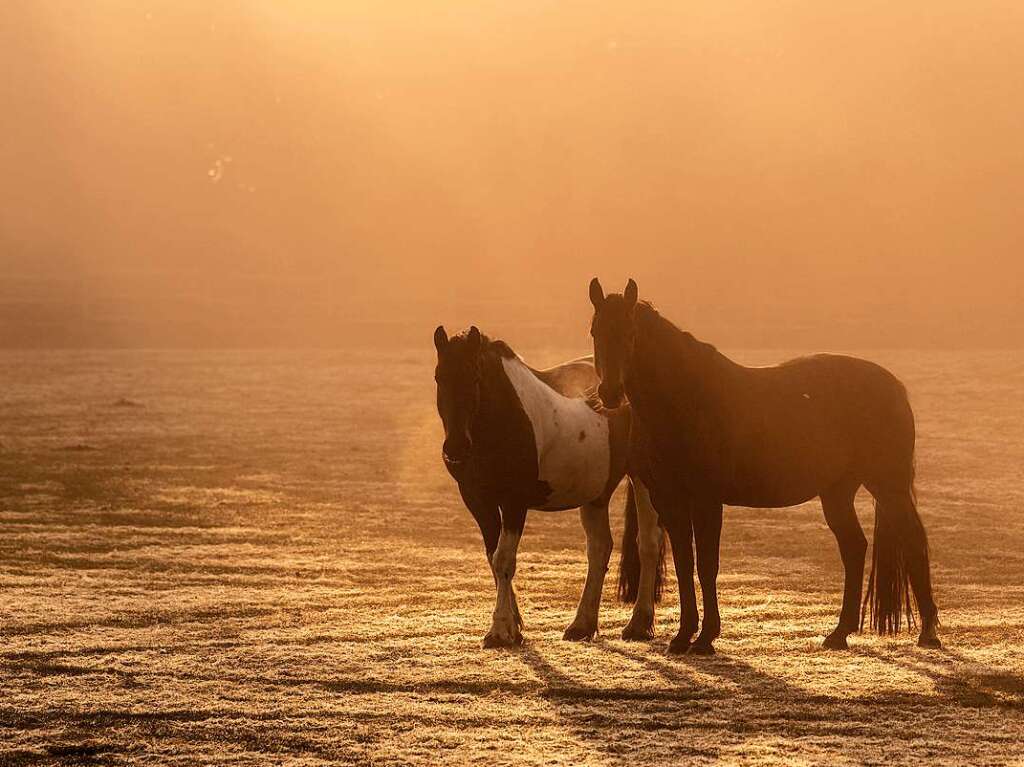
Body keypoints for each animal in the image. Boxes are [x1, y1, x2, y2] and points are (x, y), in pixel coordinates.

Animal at [430, 323, 663, 647]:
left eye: (475, 377)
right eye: (439, 377)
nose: (455, 447)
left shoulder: (514, 502)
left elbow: (504, 559)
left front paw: (500, 630)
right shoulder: (478, 501)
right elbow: (493, 558)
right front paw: (513, 626)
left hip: (642, 480)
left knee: (648, 544)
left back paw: (639, 623)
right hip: (595, 493)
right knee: (600, 548)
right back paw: (582, 625)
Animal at [589, 278, 937, 655]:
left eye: (630, 333)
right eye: (595, 331)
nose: (610, 393)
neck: (684, 400)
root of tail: (894, 386)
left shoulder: (707, 500)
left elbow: (706, 565)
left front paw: (706, 637)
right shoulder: (670, 500)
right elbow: (684, 564)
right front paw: (683, 636)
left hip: (889, 486)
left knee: (913, 541)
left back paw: (928, 632)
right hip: (837, 492)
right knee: (854, 547)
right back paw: (839, 633)